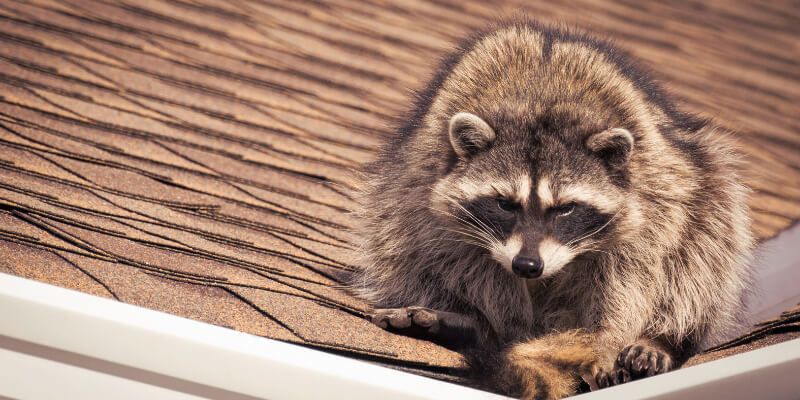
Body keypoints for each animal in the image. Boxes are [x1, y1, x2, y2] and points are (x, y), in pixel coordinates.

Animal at [349, 21, 753, 399]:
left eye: (566, 209)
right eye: (505, 204)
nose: (527, 265)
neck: (539, 105)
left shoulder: (653, 198)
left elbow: (634, 272)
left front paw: (608, 339)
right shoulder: (429, 188)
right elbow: (460, 257)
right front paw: (501, 325)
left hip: (704, 184)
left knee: (704, 247)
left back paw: (660, 338)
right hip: (398, 194)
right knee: (400, 242)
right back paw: (472, 323)